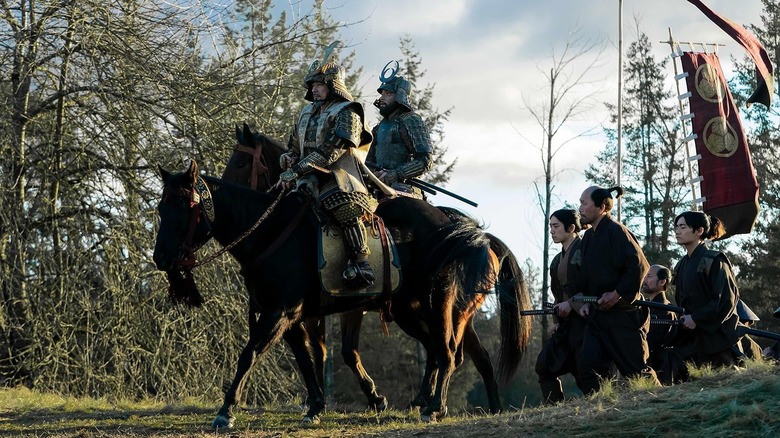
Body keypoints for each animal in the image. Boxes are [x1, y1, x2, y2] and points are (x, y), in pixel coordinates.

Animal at [152, 161, 532, 428]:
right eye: (161, 209)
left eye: (185, 208)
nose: (161, 258)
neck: (270, 233)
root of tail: (466, 231)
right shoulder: (291, 318)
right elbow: (307, 360)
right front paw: (316, 406)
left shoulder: (281, 312)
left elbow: (250, 354)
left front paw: (226, 410)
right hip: (409, 310)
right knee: (443, 352)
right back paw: (441, 403)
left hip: (440, 305)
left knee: (448, 353)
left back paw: (436, 406)